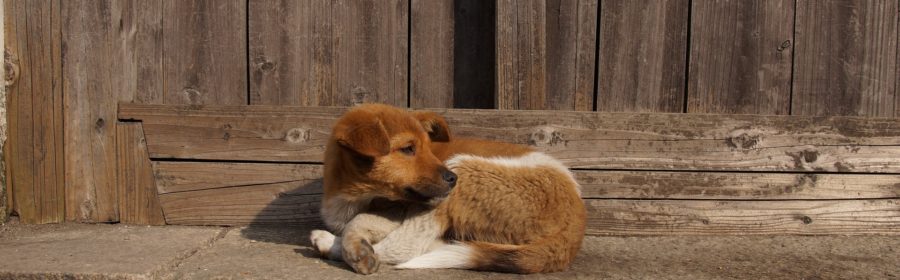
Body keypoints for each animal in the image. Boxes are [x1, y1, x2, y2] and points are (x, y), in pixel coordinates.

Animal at [312, 104, 588, 274]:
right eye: (408, 149)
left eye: (428, 148)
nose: (451, 178)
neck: (351, 194)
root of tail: (576, 225)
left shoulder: (396, 210)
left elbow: (358, 221)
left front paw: (354, 248)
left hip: (463, 171)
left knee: (408, 246)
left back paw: (326, 242)